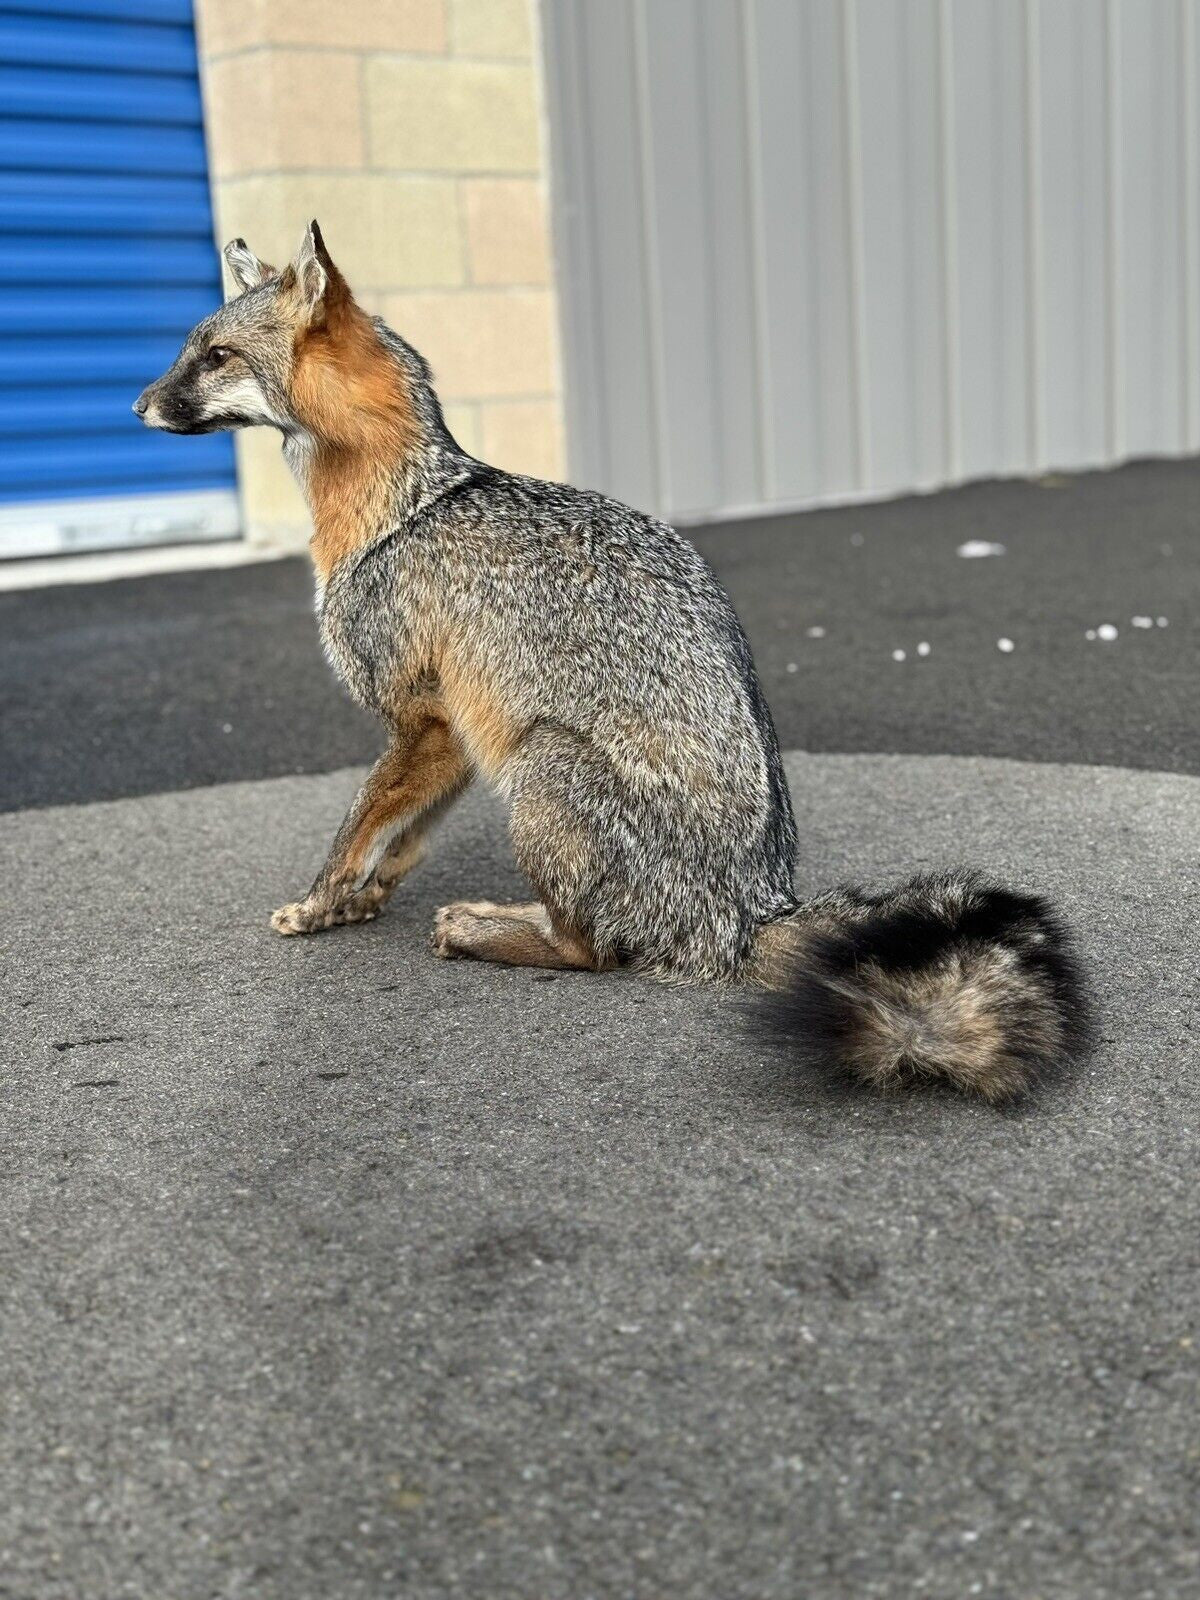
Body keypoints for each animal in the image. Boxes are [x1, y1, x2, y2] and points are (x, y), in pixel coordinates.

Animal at [138, 225, 1088, 1100]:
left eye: (215, 355)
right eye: (191, 347)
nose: (139, 404)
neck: (406, 505)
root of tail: (749, 909)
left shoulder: (425, 717)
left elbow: (357, 827)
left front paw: (318, 901)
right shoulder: (455, 728)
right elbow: (400, 838)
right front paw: (356, 903)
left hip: (540, 762)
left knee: (589, 951)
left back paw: (487, 932)